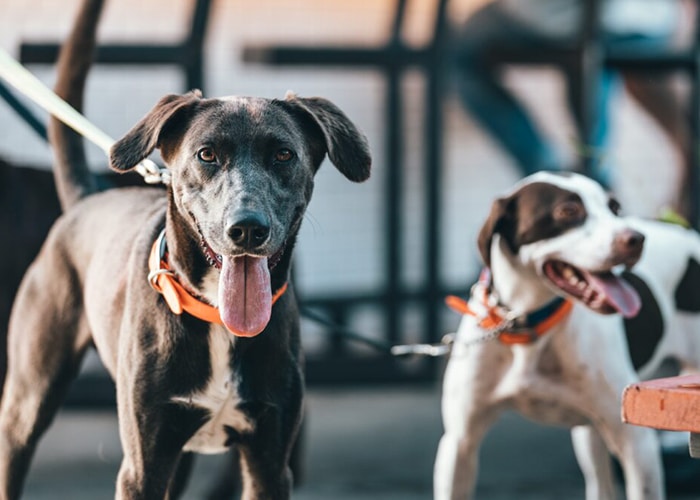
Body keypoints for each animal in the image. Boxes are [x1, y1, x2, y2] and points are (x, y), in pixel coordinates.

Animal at [434, 172, 700, 500]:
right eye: (568, 211)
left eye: (614, 208)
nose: (636, 239)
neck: (527, 325)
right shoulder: (459, 442)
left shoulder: (636, 442)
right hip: (590, 433)